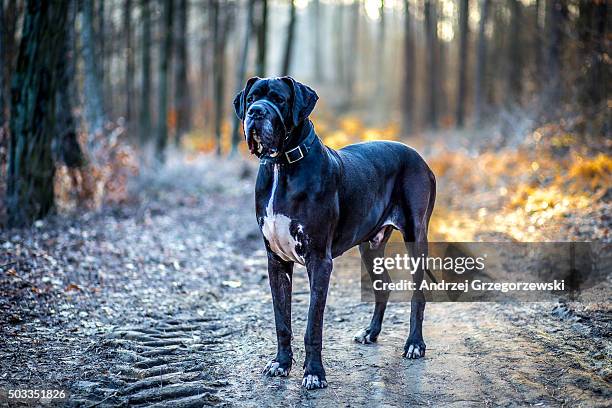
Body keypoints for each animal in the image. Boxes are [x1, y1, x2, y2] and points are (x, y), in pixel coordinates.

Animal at [233, 75, 436, 388]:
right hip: (370, 246)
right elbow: (282, 320)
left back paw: (415, 343)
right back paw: (371, 332)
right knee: (383, 285)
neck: (282, 166)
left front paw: (314, 372)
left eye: (278, 99)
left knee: (418, 294)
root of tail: (420, 158)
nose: (256, 112)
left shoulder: (319, 261)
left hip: (416, 236)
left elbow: (312, 326)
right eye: (252, 98)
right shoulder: (276, 262)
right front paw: (281, 363)